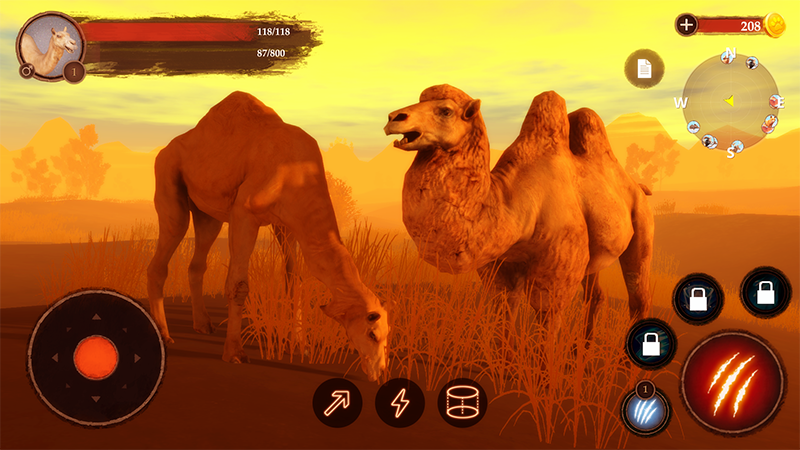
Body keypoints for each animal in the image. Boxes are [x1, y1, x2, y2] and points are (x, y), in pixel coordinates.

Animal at [147, 91, 389, 381]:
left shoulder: (289, 225)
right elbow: (239, 284)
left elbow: (294, 281)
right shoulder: (245, 214)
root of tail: (166, 148)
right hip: (169, 178)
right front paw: (234, 353)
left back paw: (203, 325)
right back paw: (164, 334)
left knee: (198, 259)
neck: (298, 174)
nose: (380, 371)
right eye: (372, 333)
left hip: (208, 212)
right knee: (165, 250)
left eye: (387, 336)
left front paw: (300, 345)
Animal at [384, 85, 653, 342]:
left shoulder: (557, 268)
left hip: (642, 224)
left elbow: (546, 328)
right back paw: (583, 349)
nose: (393, 117)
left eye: (446, 111)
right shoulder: (500, 268)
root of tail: (639, 187)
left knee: (638, 296)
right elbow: (504, 320)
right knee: (595, 295)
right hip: (595, 253)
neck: (512, 207)